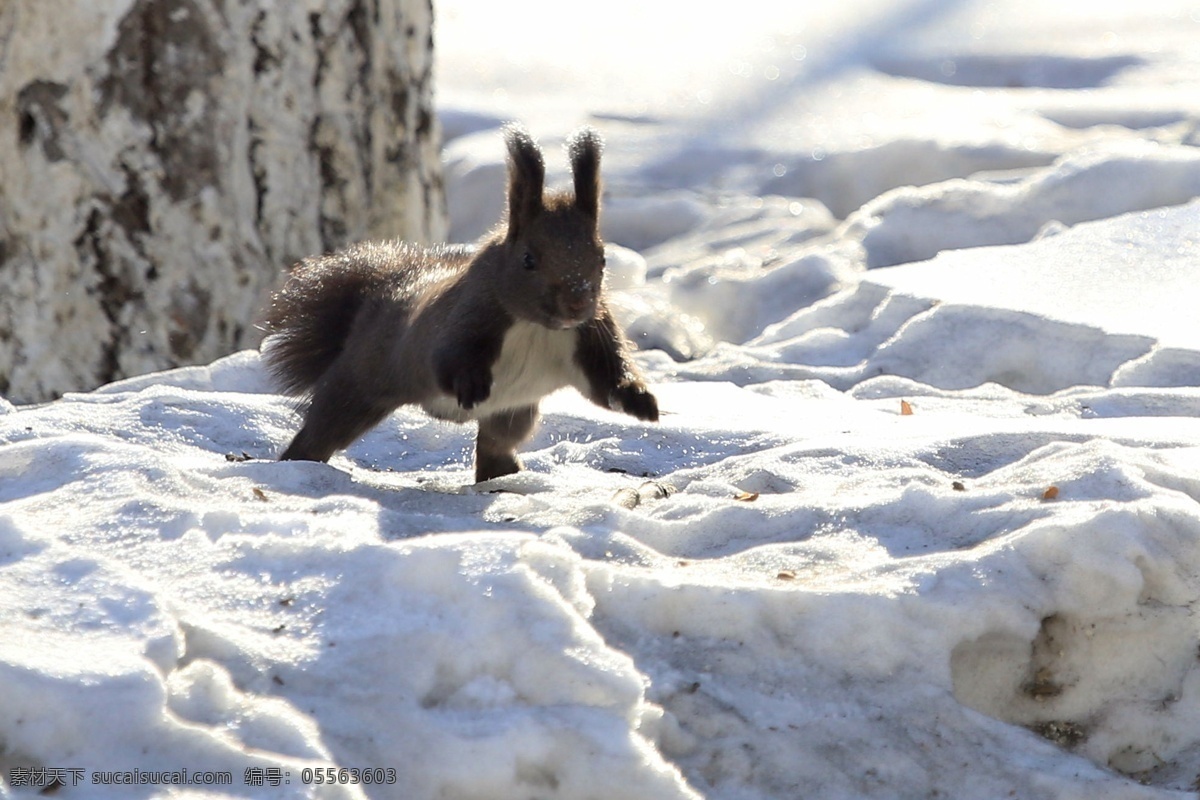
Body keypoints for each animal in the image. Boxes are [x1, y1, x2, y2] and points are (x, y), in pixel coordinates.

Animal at [258, 123, 662, 482]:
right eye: (528, 259)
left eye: (602, 259)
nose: (577, 304)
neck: (535, 326)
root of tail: (379, 295)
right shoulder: (466, 317)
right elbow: (450, 358)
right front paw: (472, 386)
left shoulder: (592, 334)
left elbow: (606, 379)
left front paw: (639, 400)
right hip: (359, 382)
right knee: (325, 429)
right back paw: (297, 462)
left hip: (514, 412)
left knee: (497, 443)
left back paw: (503, 474)